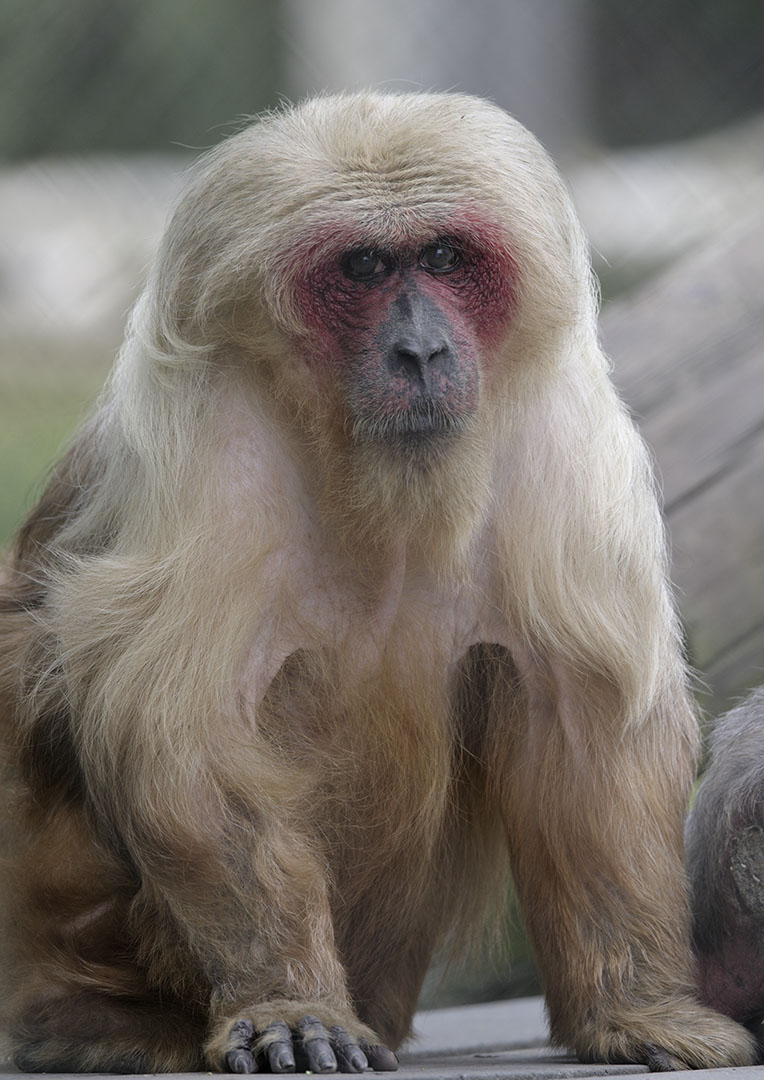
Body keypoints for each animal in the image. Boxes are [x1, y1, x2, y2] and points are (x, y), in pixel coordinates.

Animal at [0, 91, 755, 1074]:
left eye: (444, 259)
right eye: (362, 267)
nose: (422, 350)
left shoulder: (562, 429)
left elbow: (583, 715)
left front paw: (637, 1004)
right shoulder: (203, 437)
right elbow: (189, 735)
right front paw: (289, 1002)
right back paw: (90, 1020)